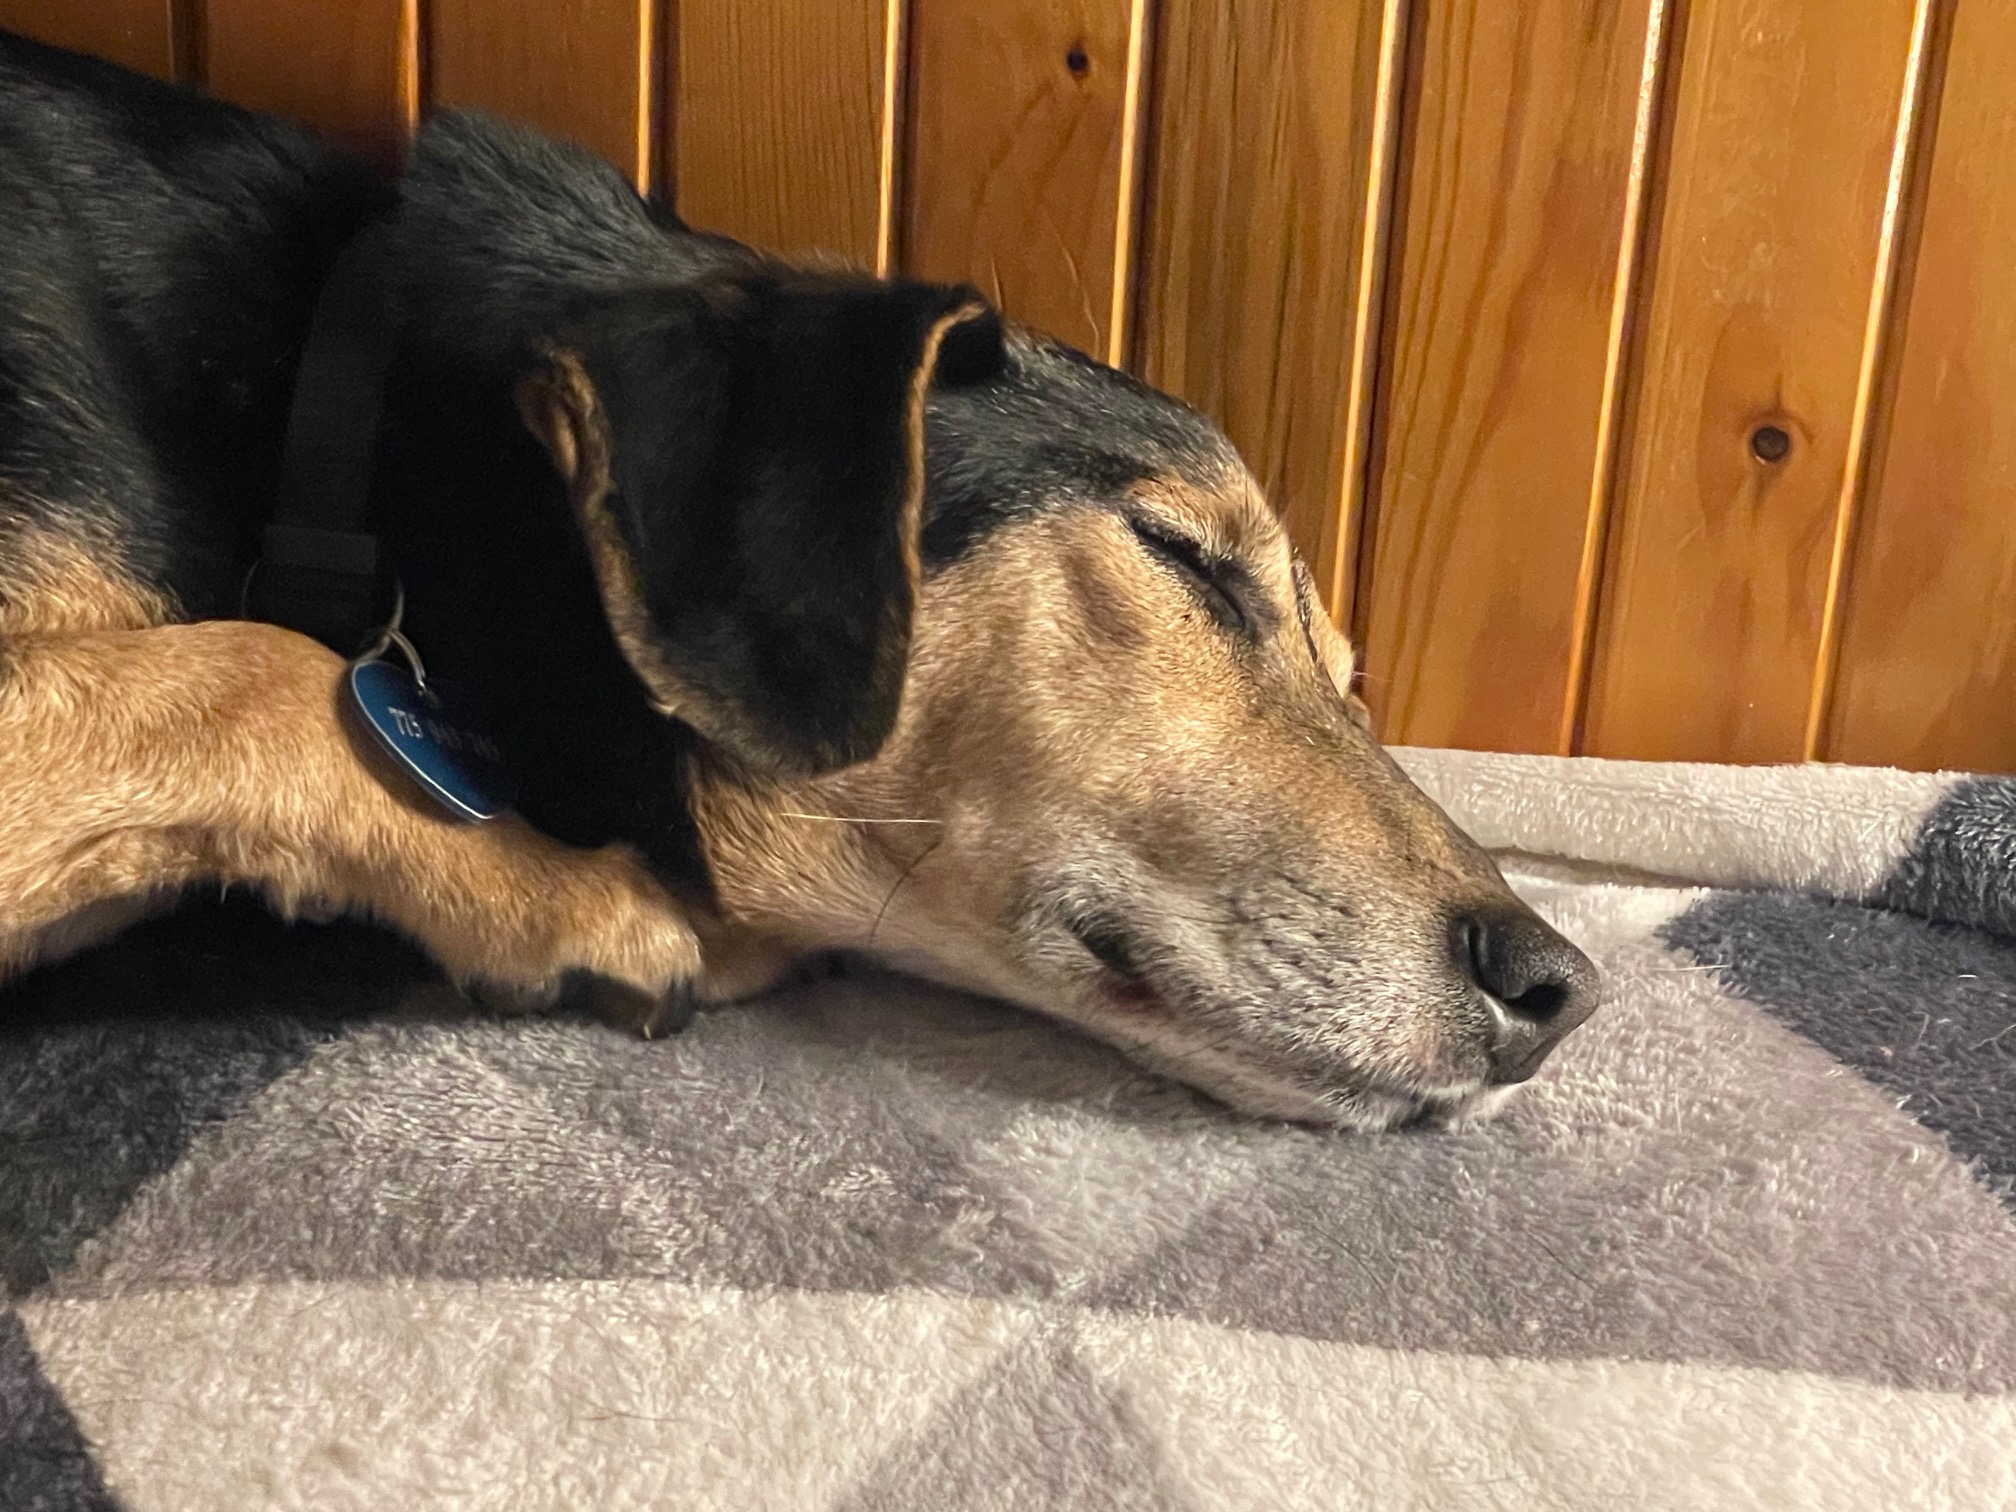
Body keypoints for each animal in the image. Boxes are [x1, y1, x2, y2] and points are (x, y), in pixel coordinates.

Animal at [0, 29, 1598, 1130]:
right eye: (1185, 560)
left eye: (1353, 675)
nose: (1559, 990)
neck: (351, 422)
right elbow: (258, 665)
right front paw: (560, 894)